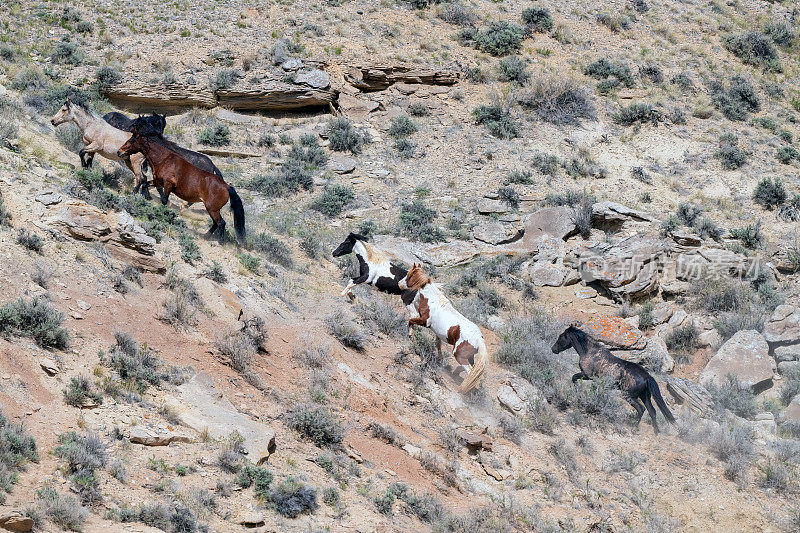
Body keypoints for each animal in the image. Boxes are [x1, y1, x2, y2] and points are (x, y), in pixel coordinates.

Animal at [398, 262, 488, 390]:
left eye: (409, 275)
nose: (399, 284)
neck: (433, 301)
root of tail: (479, 339)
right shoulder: (436, 332)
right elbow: (438, 345)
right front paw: (440, 360)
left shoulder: (424, 322)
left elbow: (411, 320)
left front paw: (411, 335)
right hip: (469, 356)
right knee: (474, 371)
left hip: (459, 355)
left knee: (470, 372)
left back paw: (461, 390)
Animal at [552, 324, 680, 432]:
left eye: (561, 336)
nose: (553, 349)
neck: (589, 352)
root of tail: (647, 376)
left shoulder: (587, 375)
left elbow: (574, 378)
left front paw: (577, 393)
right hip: (645, 396)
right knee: (652, 411)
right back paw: (656, 432)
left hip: (628, 395)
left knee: (641, 409)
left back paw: (633, 426)